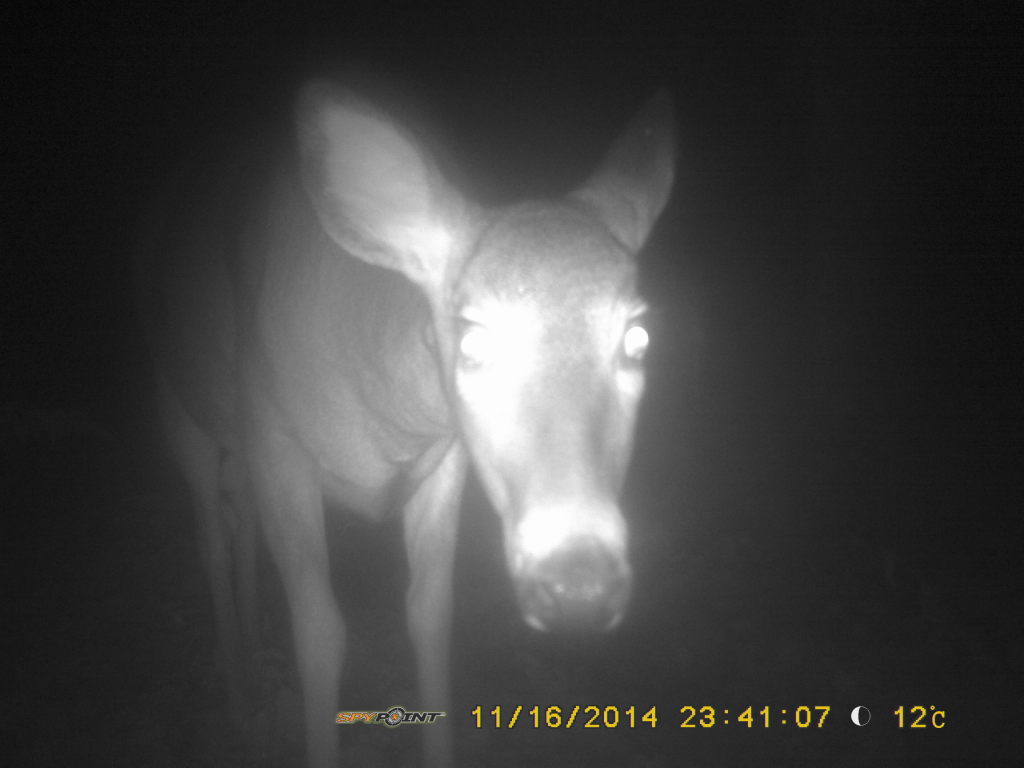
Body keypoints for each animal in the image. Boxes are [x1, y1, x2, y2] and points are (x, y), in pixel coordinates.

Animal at [137, 80, 675, 767]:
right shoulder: (274, 432)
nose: (578, 585)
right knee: (209, 536)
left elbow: (431, 618)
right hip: (177, 401)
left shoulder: (443, 460)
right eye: (472, 339)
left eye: (638, 337)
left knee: (239, 527)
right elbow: (320, 634)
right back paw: (236, 696)